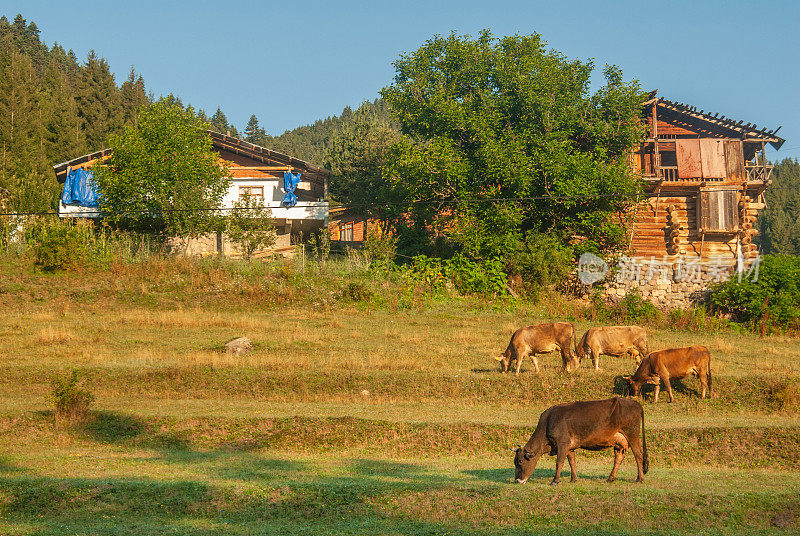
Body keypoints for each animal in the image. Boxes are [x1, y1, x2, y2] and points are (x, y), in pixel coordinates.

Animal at [512, 398, 648, 486]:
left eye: (520, 461)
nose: (517, 481)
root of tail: (636, 403)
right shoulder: (570, 447)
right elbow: (572, 462)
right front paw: (574, 479)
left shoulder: (562, 443)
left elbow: (559, 462)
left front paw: (555, 481)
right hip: (619, 442)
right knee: (619, 458)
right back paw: (610, 478)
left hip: (632, 434)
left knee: (638, 455)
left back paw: (639, 478)